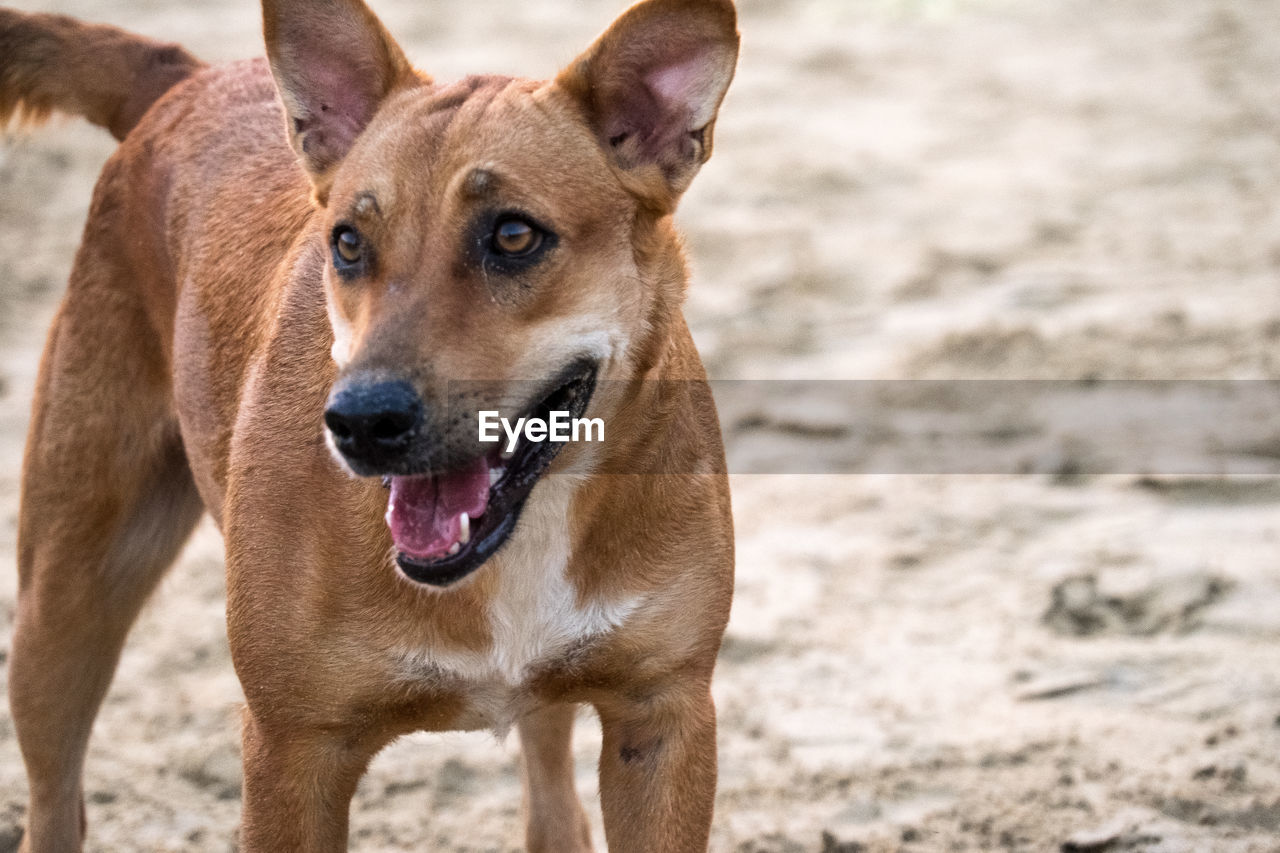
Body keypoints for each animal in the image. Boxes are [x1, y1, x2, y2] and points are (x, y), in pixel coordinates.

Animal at [0, 0, 737, 845]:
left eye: (514, 235)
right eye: (348, 243)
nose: (361, 420)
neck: (527, 529)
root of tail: (188, 81)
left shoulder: (662, 717)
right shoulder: (292, 751)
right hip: (66, 601)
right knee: (56, 798)